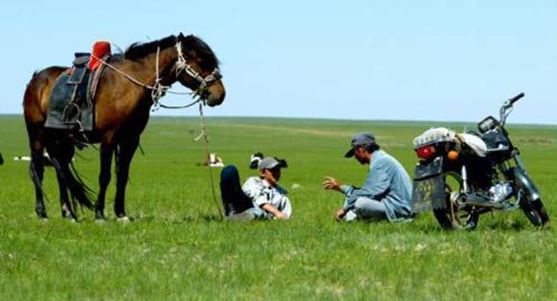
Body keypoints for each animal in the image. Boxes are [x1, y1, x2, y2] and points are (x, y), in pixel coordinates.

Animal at [21, 33, 226, 220]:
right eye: (201, 60)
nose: (220, 94)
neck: (127, 86)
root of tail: (35, 79)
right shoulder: (108, 138)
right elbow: (105, 176)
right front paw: (100, 214)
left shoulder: (130, 140)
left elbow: (122, 176)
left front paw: (120, 213)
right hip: (37, 135)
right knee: (38, 170)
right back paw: (42, 213)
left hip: (61, 140)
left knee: (61, 170)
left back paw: (69, 214)